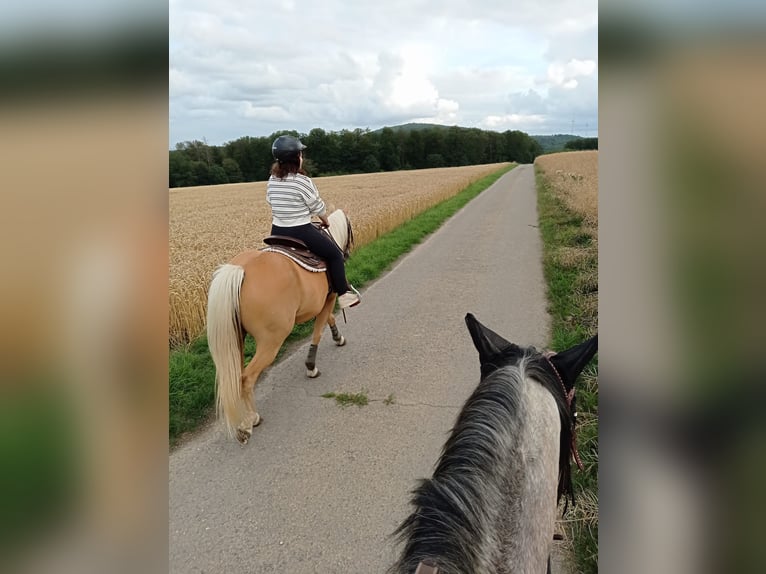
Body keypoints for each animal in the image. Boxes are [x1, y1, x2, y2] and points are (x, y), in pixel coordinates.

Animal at [208, 210, 356, 446]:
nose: (348, 253)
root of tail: (240, 270)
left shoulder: (321, 302)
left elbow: (328, 320)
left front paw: (337, 337)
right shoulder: (330, 297)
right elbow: (318, 331)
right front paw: (311, 366)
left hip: (236, 338)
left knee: (235, 377)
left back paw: (245, 420)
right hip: (271, 341)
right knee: (246, 378)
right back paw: (251, 421)